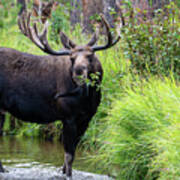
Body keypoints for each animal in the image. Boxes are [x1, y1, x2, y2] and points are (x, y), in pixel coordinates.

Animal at [0, 11, 120, 179]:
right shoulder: (68, 117)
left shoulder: (86, 118)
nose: (78, 73)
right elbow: (69, 154)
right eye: (71, 58)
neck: (88, 98)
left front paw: (63, 171)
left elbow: (72, 151)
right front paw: (68, 174)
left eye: (90, 56)